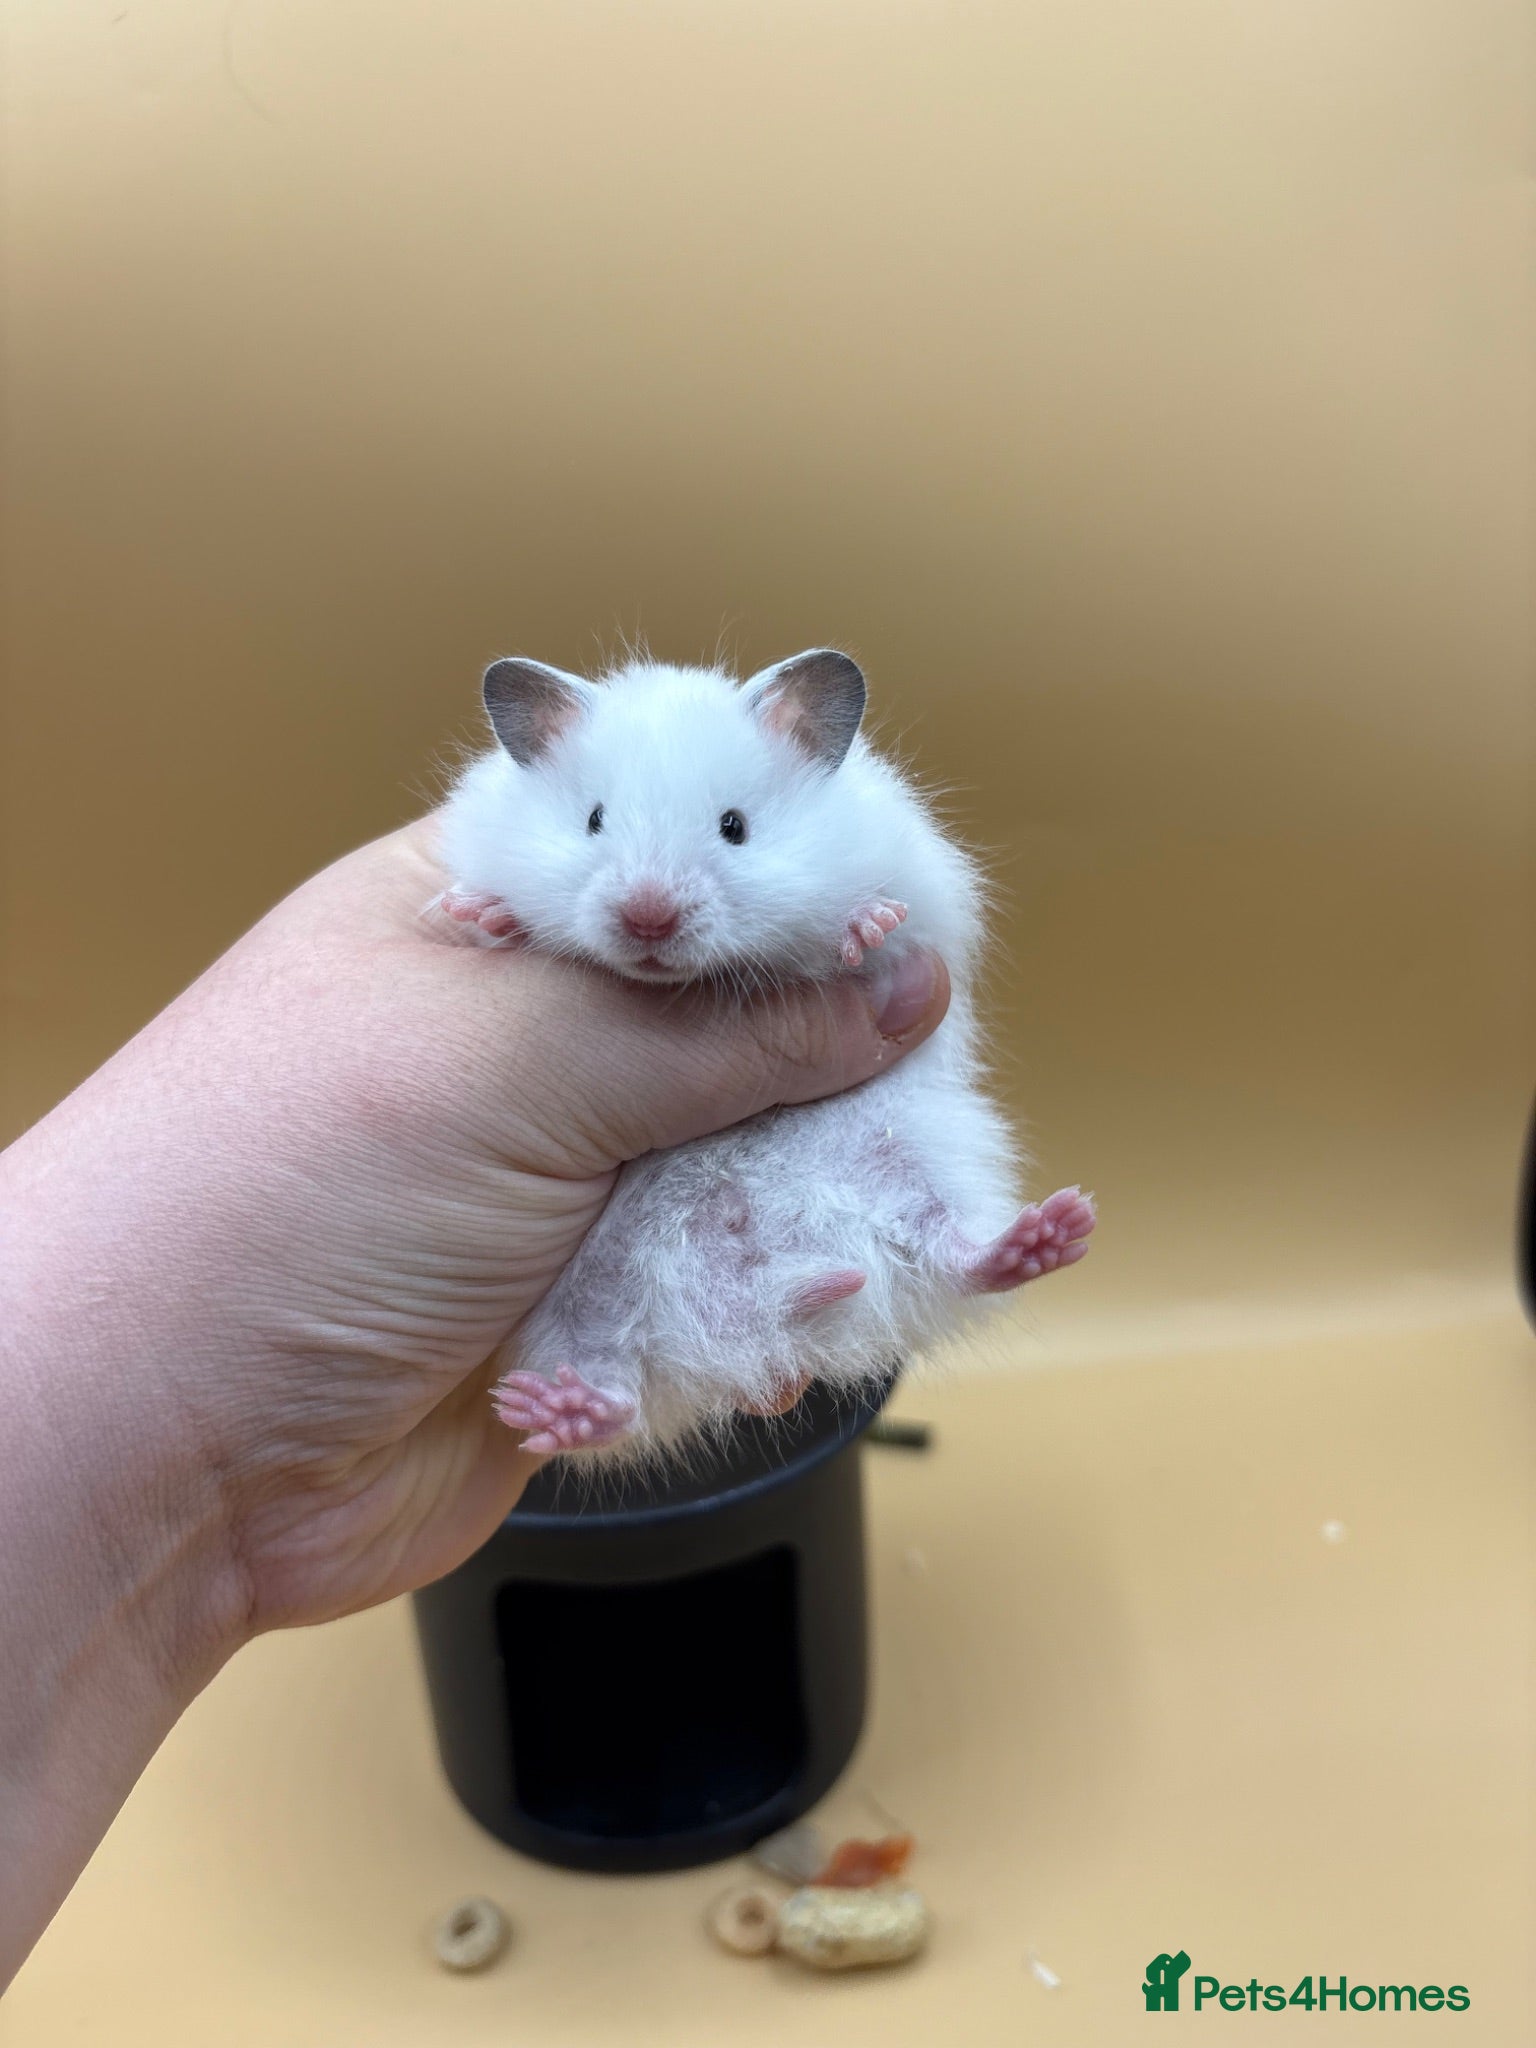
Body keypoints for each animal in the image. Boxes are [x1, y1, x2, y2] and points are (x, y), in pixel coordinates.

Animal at [435, 648, 1095, 1463]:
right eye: (593, 820)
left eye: (734, 827)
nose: (648, 918)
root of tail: (762, 1322)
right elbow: (484, 920)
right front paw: (484, 911)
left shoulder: (925, 901)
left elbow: (885, 934)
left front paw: (866, 926)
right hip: (577, 1303)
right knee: (614, 1375)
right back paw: (560, 1411)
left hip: (924, 1156)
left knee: (956, 1255)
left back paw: (1047, 1233)